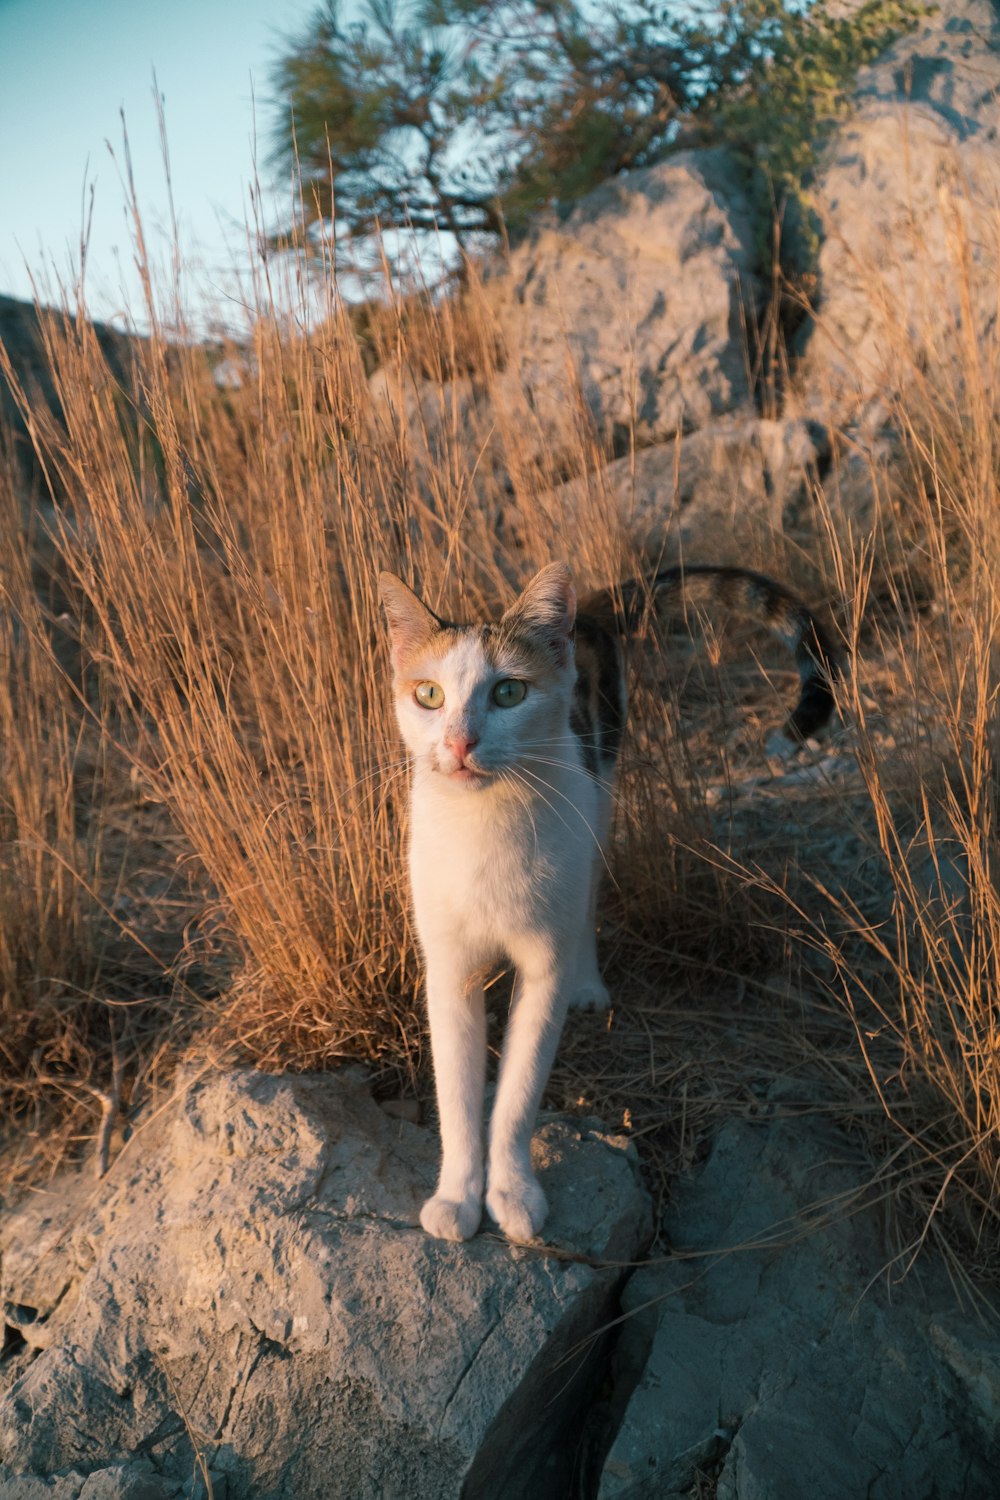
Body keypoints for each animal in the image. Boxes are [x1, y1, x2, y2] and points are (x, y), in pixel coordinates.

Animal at [377, 564, 839, 1242]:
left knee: (588, 906)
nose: (460, 743)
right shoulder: (449, 968)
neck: (486, 827)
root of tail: (591, 606)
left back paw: (588, 984)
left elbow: (517, 1094)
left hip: (598, 804)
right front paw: (458, 1196)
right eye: (429, 696)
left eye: (509, 693)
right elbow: (458, 1095)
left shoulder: (542, 967)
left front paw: (512, 1192)